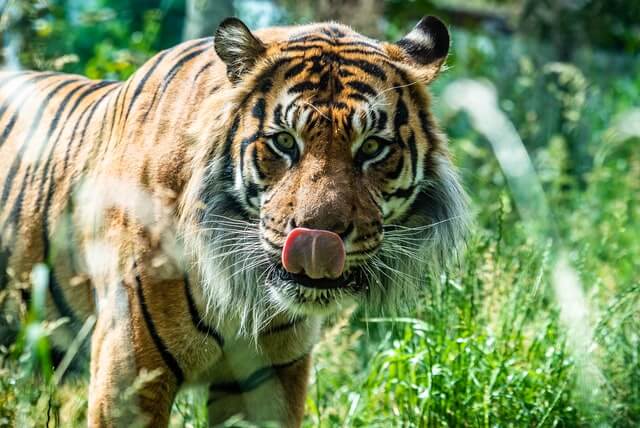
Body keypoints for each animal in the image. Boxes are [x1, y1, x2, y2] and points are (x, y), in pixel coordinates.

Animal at [0, 14, 468, 428]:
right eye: (284, 142)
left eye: (371, 147)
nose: (319, 238)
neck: (244, 293)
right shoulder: (129, 374)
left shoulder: (269, 380)